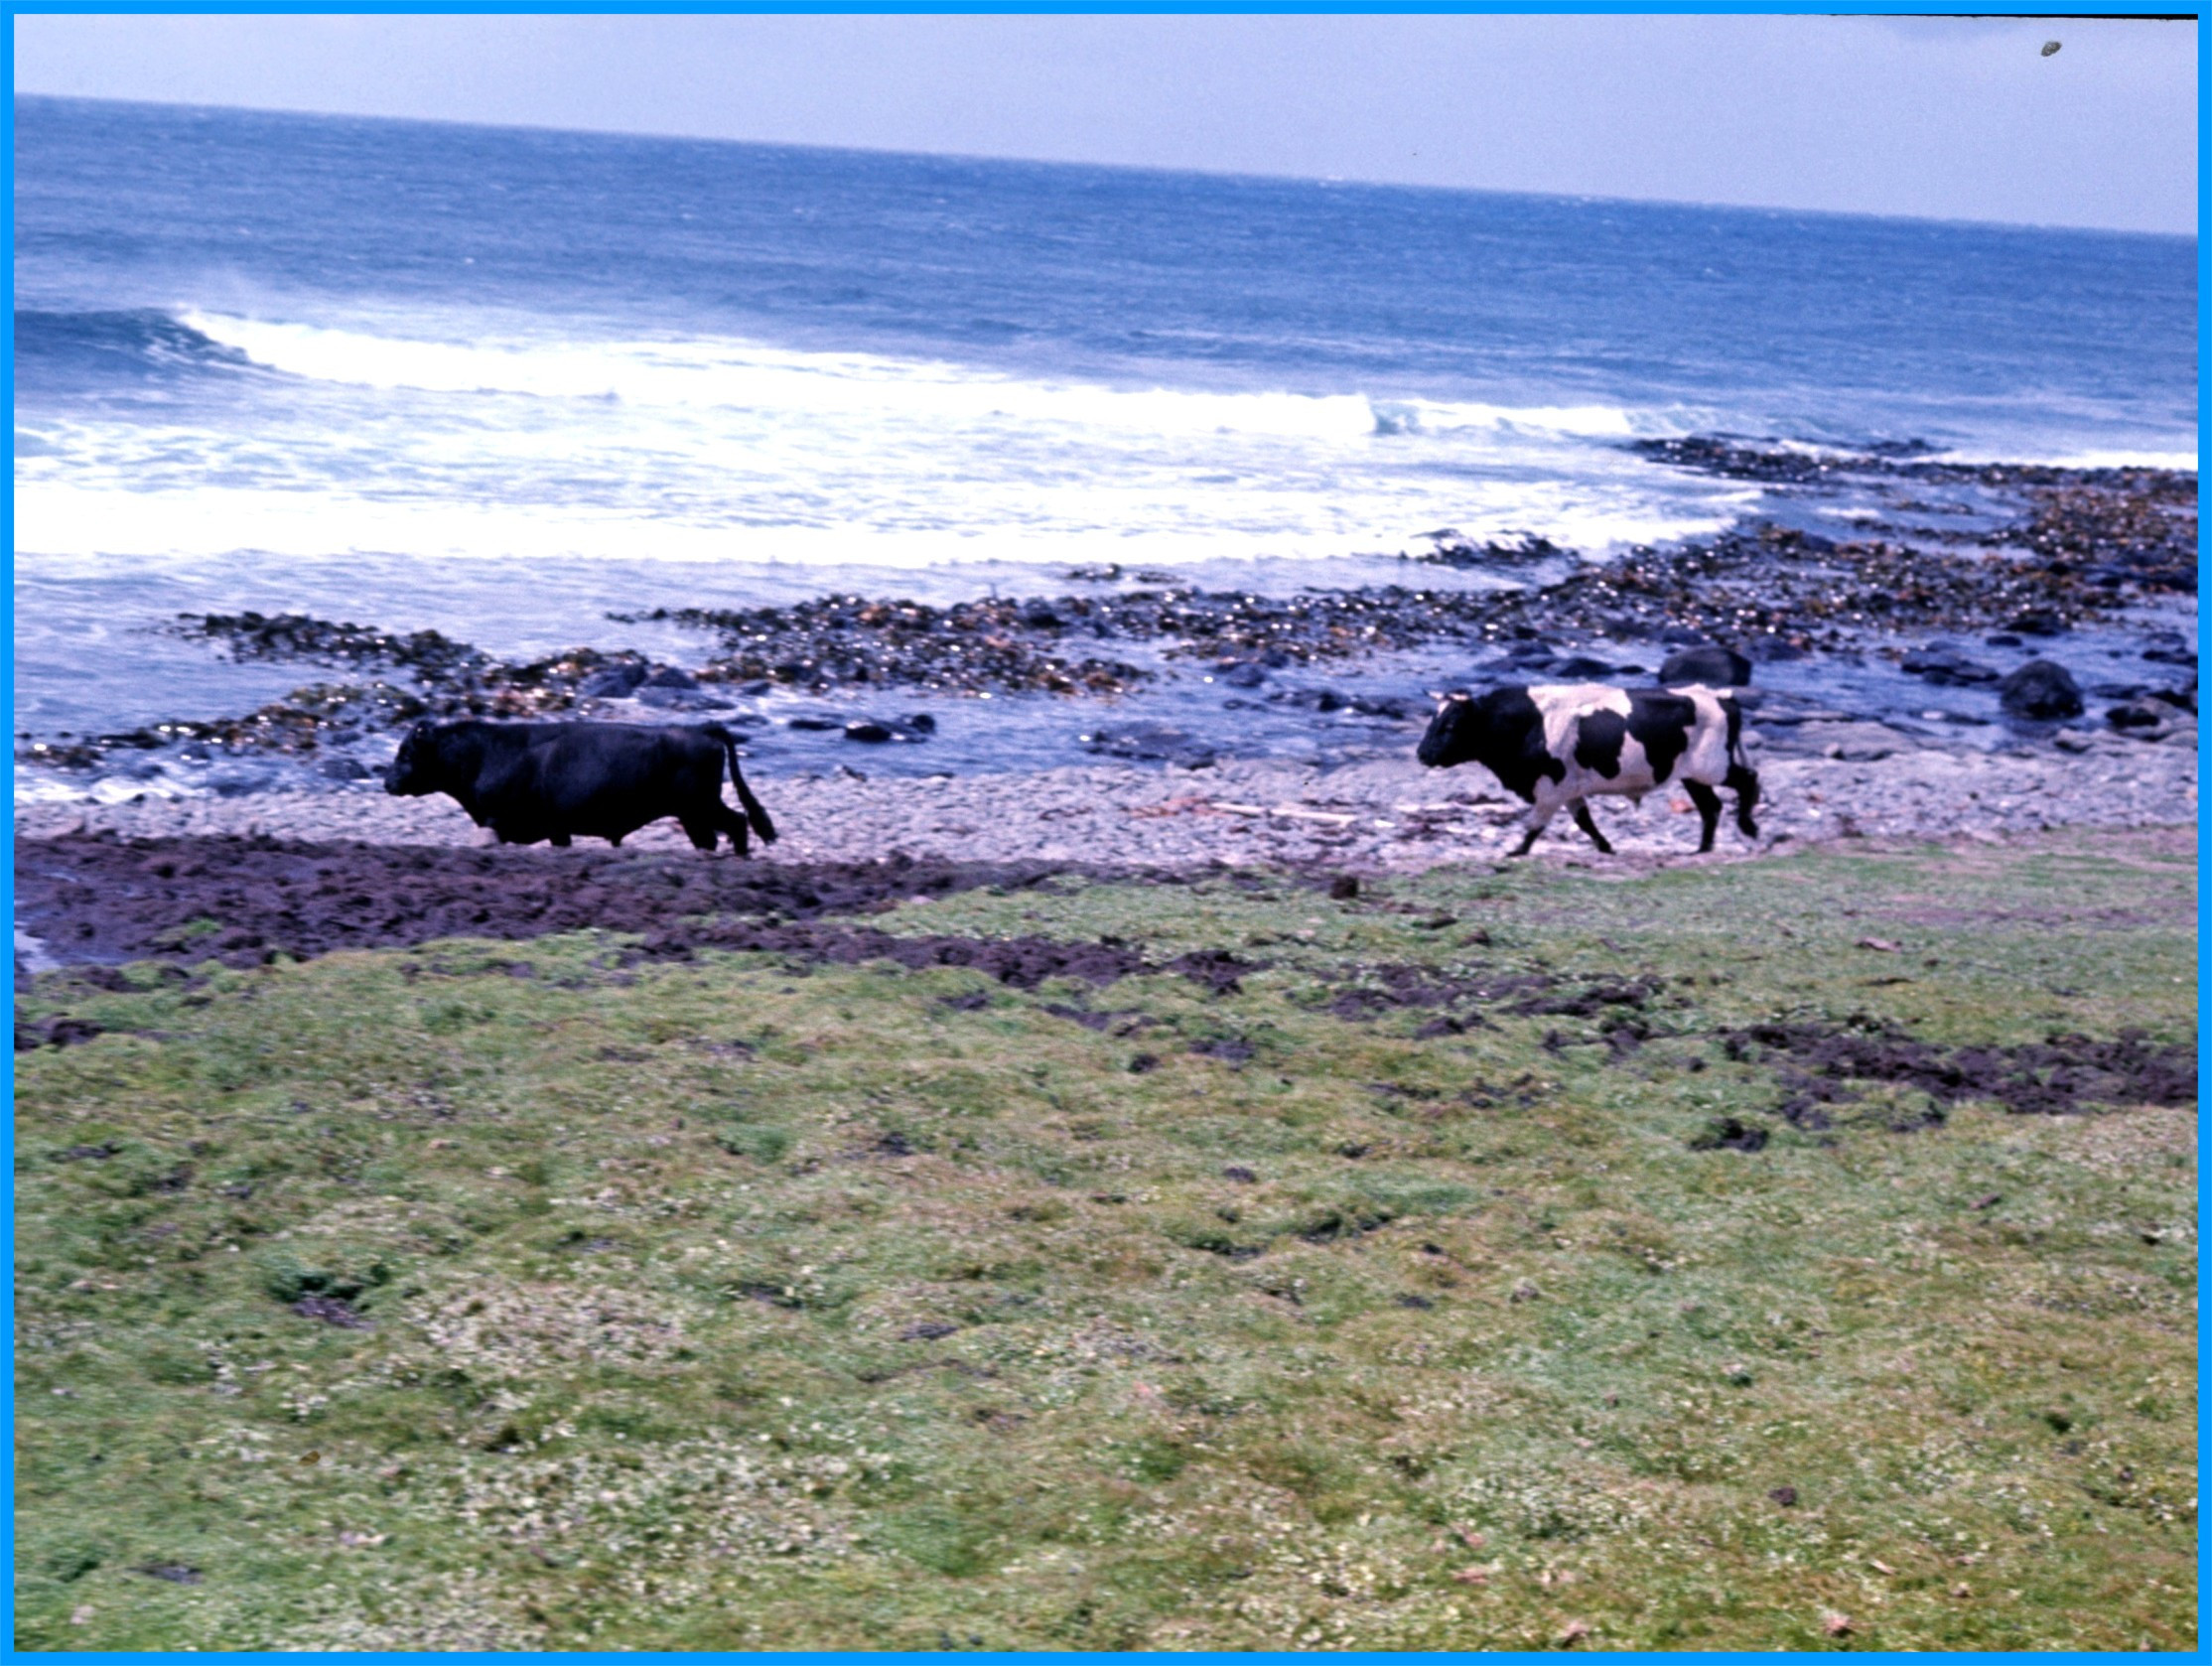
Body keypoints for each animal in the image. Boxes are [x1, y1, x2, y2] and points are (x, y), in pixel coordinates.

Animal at [384, 720, 777, 854]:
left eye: (406, 753)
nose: (387, 782)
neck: (485, 753)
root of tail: (700, 729)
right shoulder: (556, 829)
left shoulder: (501, 822)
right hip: (694, 814)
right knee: (716, 835)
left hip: (700, 807)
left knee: (738, 822)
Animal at [1416, 682, 1759, 856]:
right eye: (1432, 720)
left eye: (1450, 725)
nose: (1421, 754)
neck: (1528, 723)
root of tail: (1718, 695)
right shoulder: (1568, 789)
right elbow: (1585, 822)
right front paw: (1606, 847)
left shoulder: (1551, 788)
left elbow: (1535, 824)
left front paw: (1517, 851)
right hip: (1693, 777)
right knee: (1710, 807)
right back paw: (1702, 849)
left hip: (1713, 767)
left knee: (1747, 781)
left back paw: (1748, 827)